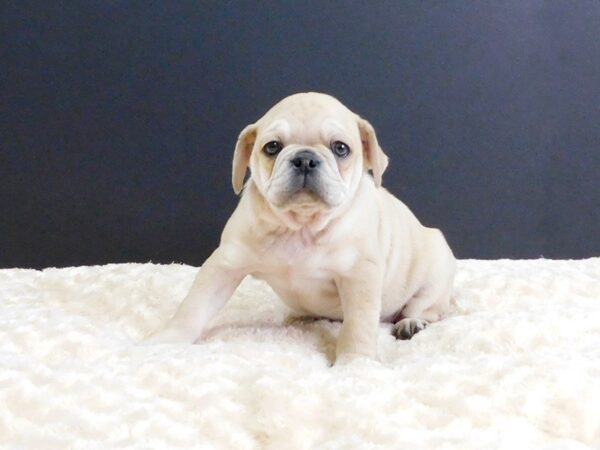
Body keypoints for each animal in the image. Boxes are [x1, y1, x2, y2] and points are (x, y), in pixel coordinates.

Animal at [148, 91, 458, 362]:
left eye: (341, 148)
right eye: (272, 147)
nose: (306, 159)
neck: (300, 226)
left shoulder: (360, 276)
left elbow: (358, 326)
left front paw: (354, 364)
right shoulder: (224, 265)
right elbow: (193, 307)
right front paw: (165, 342)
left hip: (433, 278)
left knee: (425, 308)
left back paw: (411, 323)